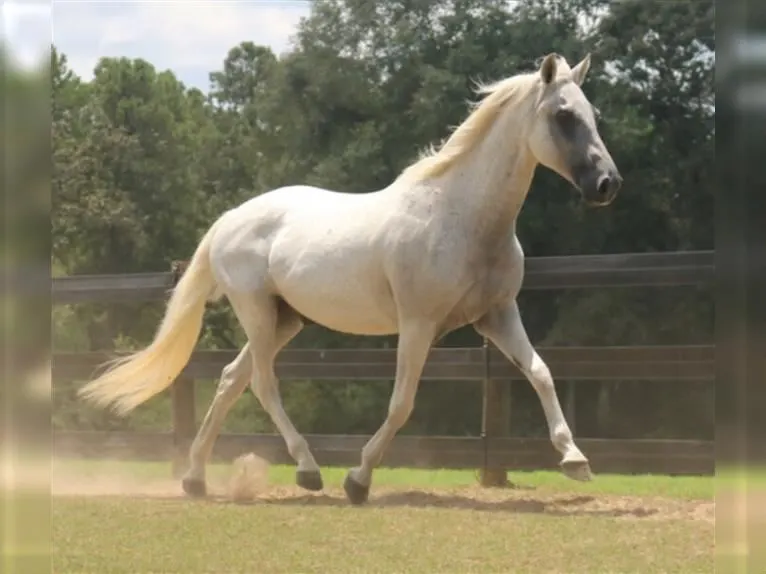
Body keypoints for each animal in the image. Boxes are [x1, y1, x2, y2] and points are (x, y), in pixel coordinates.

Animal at [78, 52, 622, 505]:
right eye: (564, 116)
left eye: (592, 113)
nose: (607, 184)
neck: (462, 217)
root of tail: (230, 219)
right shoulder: (419, 325)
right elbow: (402, 403)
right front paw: (358, 481)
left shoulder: (497, 316)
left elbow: (541, 373)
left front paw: (575, 459)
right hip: (257, 312)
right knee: (262, 384)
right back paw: (308, 471)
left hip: (284, 320)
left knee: (232, 379)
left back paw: (195, 479)